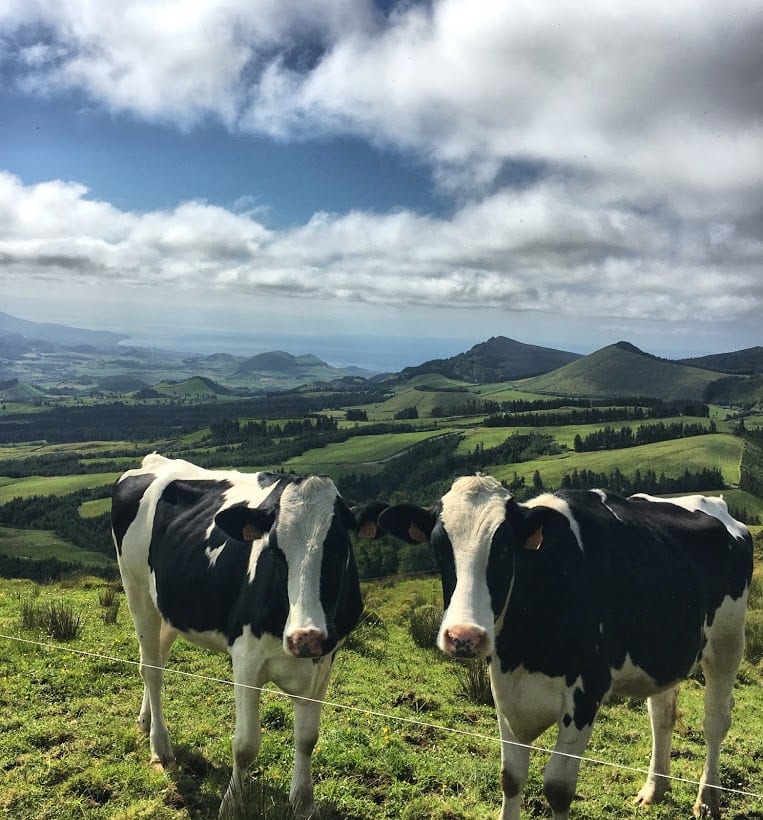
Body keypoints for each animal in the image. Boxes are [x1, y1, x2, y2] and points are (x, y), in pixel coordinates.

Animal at [111, 453, 378, 819]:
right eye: (275, 550)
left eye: (339, 548)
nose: (304, 637)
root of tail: (154, 460)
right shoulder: (246, 659)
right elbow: (245, 745)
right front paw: (232, 804)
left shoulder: (325, 661)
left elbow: (307, 737)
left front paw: (303, 803)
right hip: (137, 591)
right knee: (151, 670)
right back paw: (161, 747)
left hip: (168, 604)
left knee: (157, 659)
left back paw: (146, 721)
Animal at [374, 474, 753, 820]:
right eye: (439, 547)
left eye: (505, 548)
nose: (464, 636)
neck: (523, 651)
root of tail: (714, 504)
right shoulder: (505, 690)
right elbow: (511, 777)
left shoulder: (587, 691)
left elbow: (557, 788)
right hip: (663, 653)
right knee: (662, 716)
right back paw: (653, 790)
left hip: (727, 642)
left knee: (715, 720)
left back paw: (707, 799)